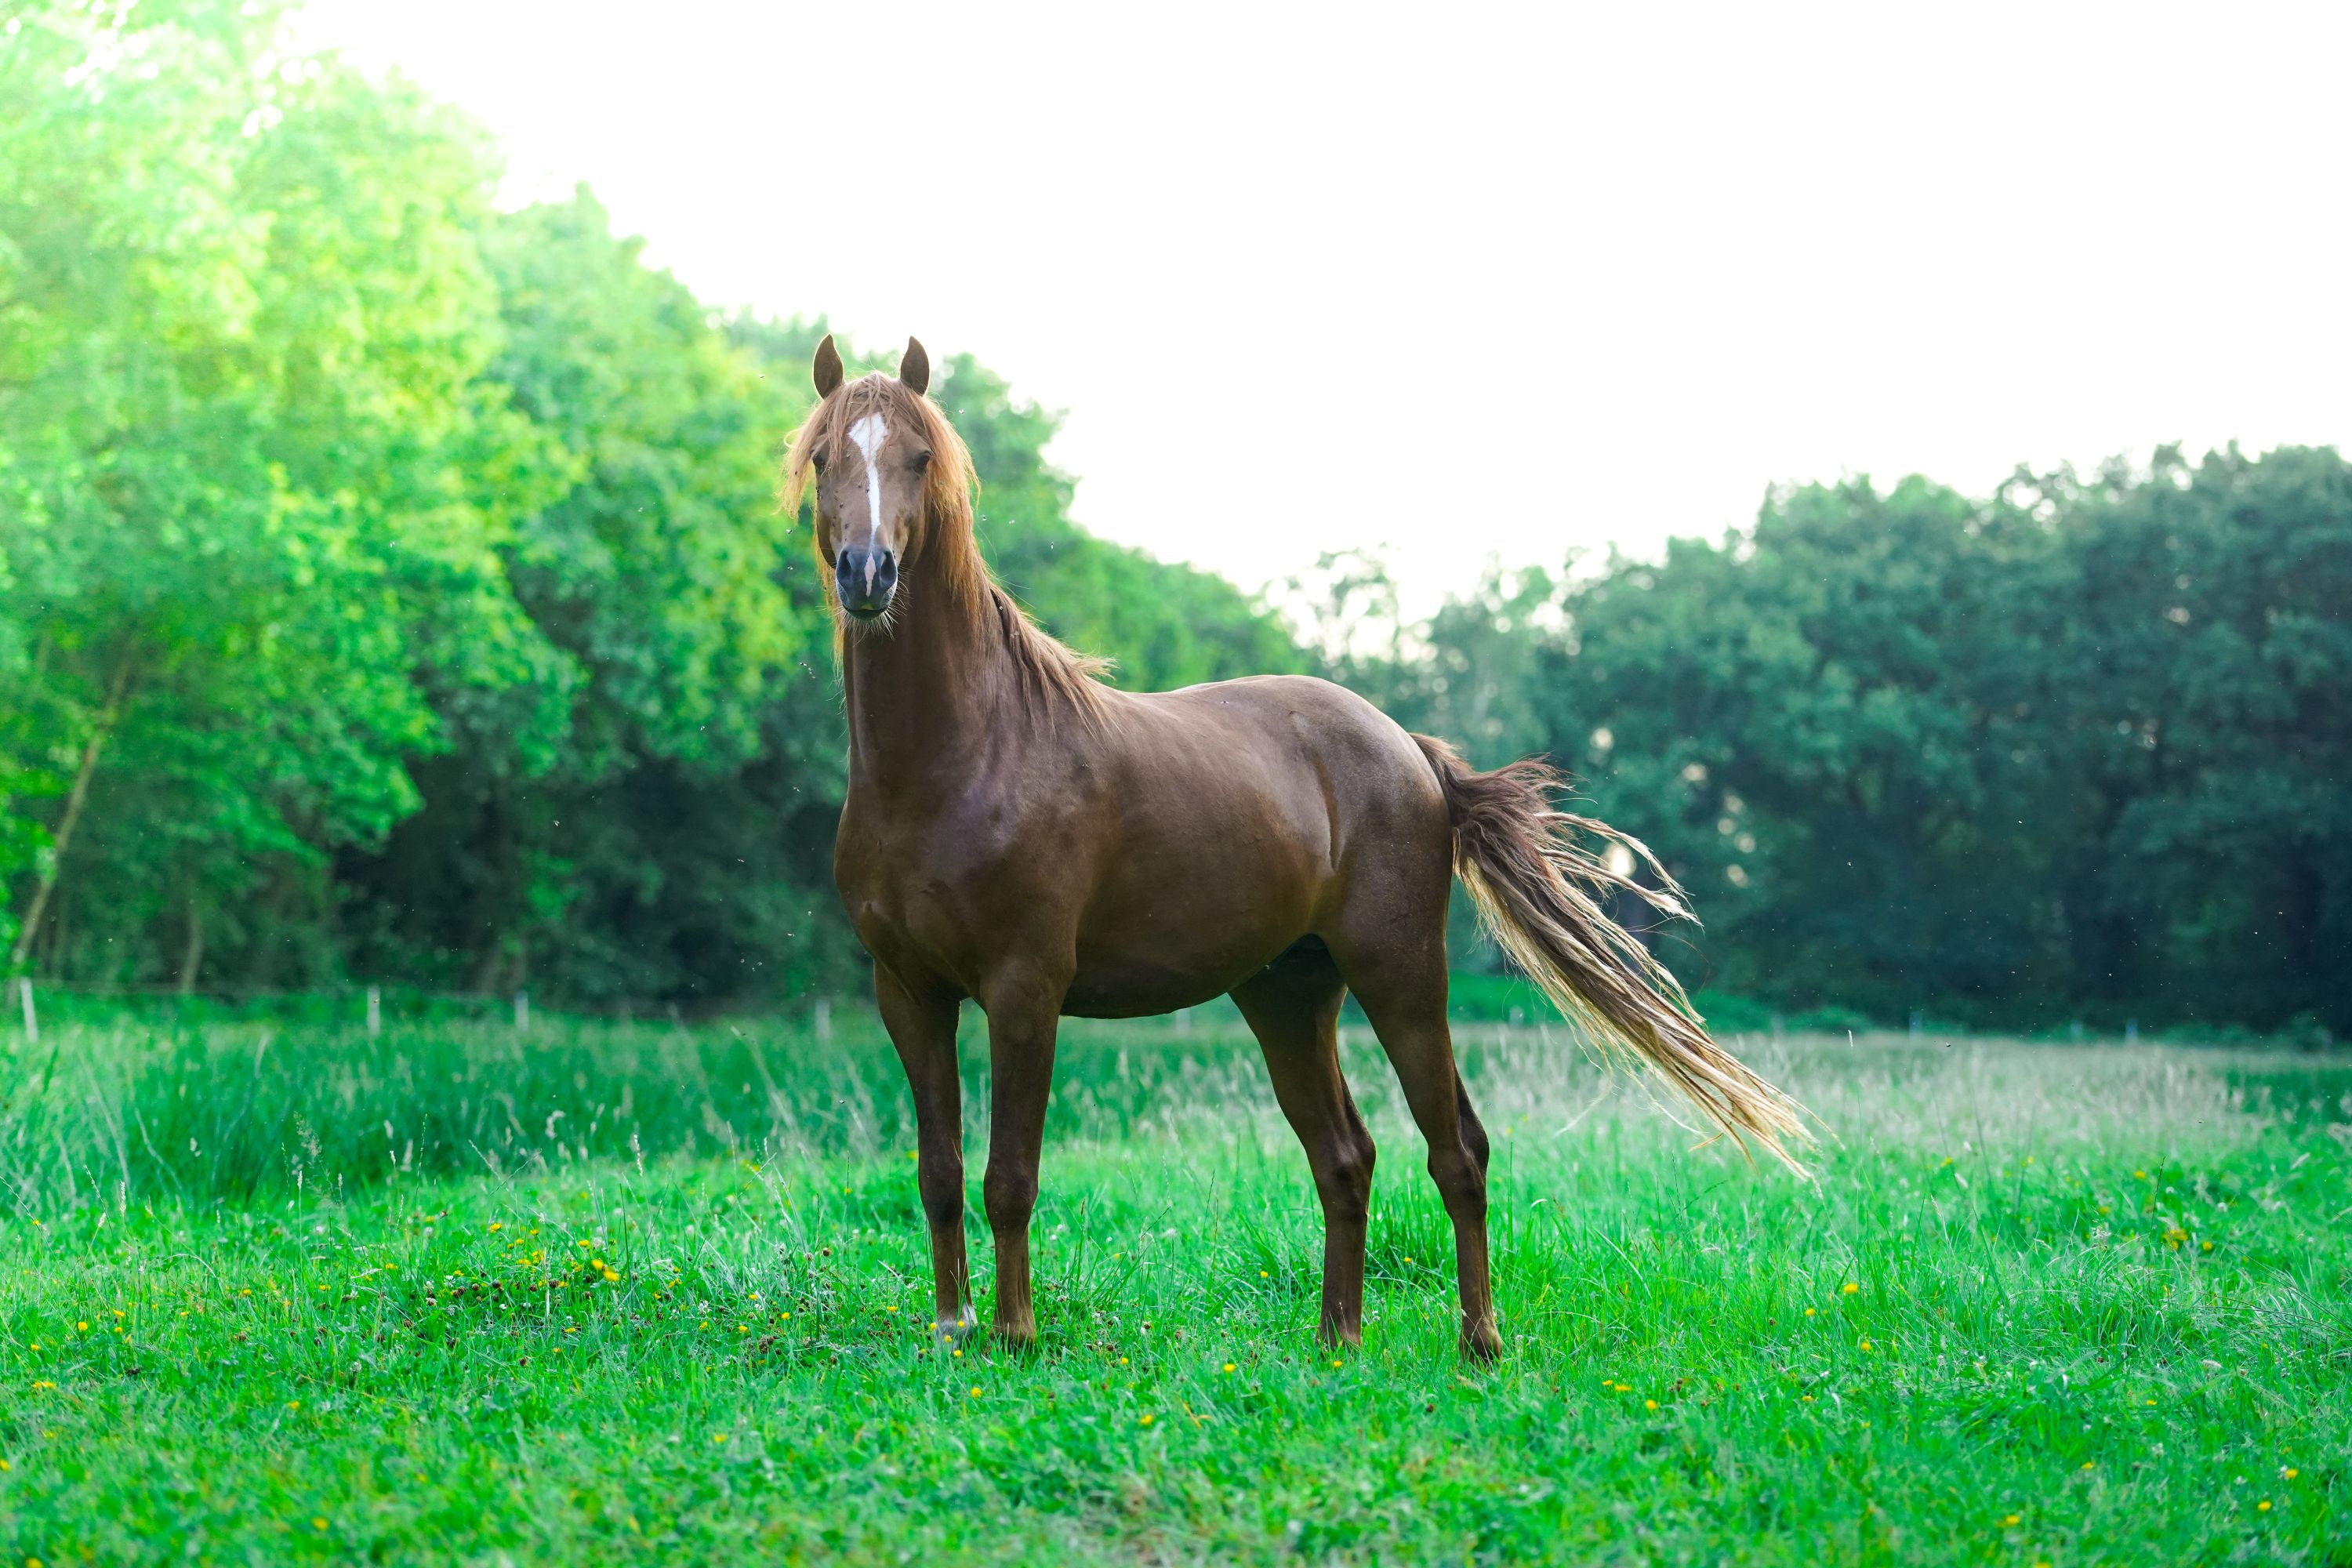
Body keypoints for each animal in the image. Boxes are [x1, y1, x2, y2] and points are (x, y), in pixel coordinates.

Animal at [785, 334, 1802, 1358]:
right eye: (825, 457)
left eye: (920, 457)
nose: (866, 574)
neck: (961, 758)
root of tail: (1412, 750)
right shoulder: (909, 993)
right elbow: (941, 1170)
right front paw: (953, 1326)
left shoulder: (1024, 987)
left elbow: (1009, 1175)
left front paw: (1015, 1333)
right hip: (1288, 994)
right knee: (1346, 1155)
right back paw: (1336, 1337)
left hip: (1400, 976)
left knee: (1457, 1148)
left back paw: (1478, 1341)